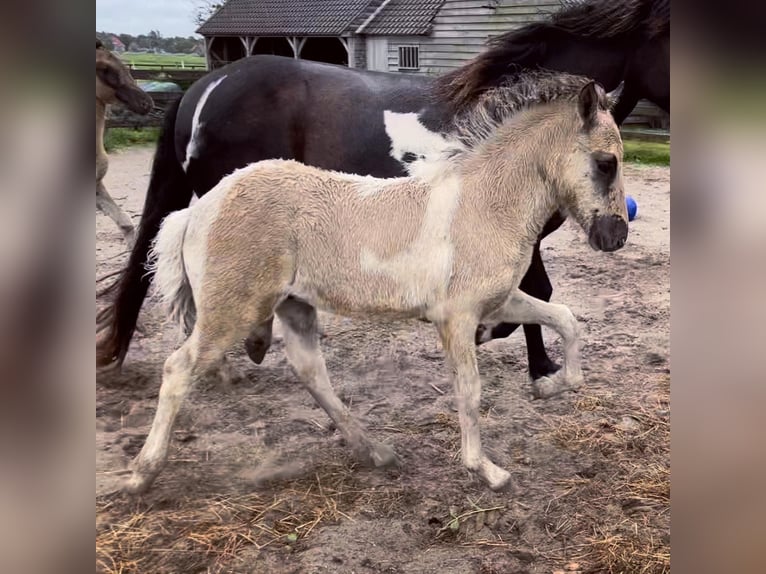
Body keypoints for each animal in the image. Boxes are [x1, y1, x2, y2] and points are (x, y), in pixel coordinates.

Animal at [124, 73, 632, 496]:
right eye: (606, 162)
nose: (616, 235)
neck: (482, 203)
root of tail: (198, 210)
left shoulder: (499, 302)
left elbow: (566, 320)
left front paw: (551, 386)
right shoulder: (457, 318)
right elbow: (469, 391)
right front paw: (486, 470)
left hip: (293, 305)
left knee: (311, 372)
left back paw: (375, 452)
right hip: (233, 309)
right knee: (178, 368)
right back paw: (141, 474)